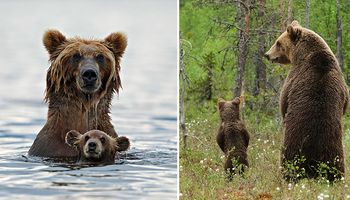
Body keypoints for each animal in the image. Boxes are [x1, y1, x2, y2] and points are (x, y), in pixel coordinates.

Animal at [264, 20, 348, 181]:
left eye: (278, 42)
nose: (267, 54)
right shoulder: (342, 84)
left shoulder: (293, 77)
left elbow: (283, 102)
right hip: (334, 149)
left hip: (293, 144)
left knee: (288, 161)